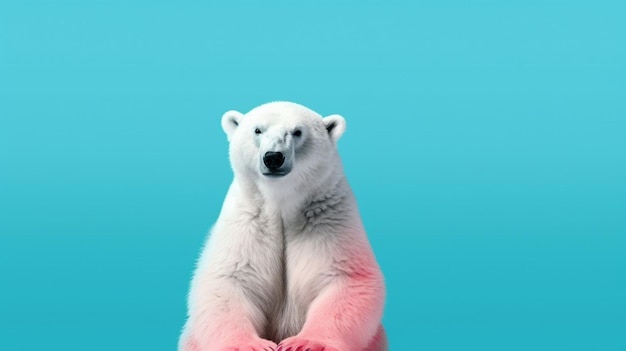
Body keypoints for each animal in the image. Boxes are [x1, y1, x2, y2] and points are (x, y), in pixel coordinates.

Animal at [178, 102, 386, 351]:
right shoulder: (247, 221)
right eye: (258, 130)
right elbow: (228, 280)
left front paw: (305, 343)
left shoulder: (328, 217)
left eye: (297, 132)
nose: (273, 158)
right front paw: (250, 345)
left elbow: (346, 279)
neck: (281, 200)